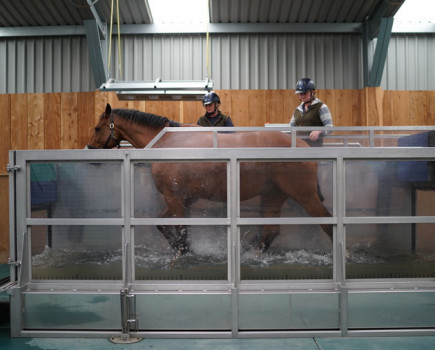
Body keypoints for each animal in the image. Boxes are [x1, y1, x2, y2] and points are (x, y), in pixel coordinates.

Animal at [87, 104, 334, 254]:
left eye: (97, 127)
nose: (89, 150)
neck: (167, 142)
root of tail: (302, 145)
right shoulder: (182, 199)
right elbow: (162, 224)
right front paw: (181, 248)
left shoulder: (175, 198)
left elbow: (180, 229)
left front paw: (183, 251)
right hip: (273, 195)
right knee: (270, 231)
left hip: (304, 195)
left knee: (327, 223)